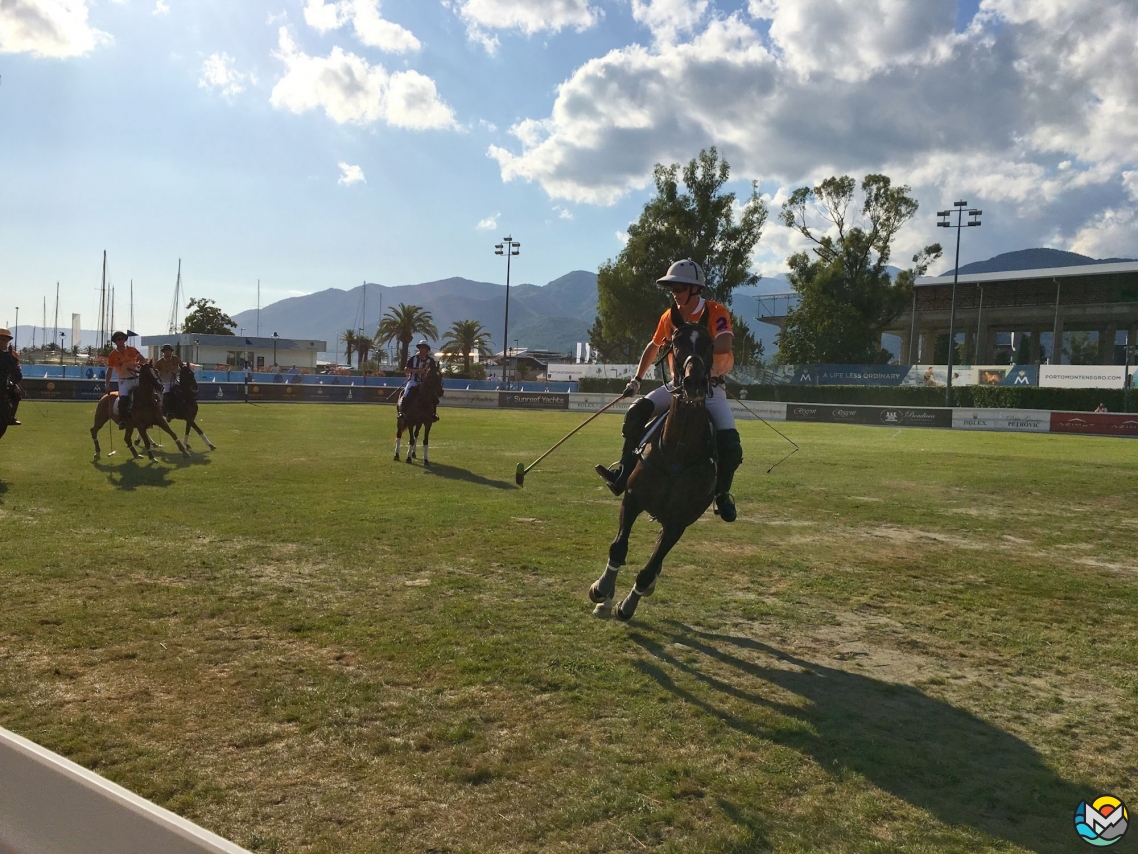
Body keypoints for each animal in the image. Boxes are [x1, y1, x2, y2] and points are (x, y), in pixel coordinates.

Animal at [591, 311, 714, 623]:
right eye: (676, 342)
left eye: (710, 344)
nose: (694, 383)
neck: (677, 452)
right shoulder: (633, 498)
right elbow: (618, 547)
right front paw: (602, 591)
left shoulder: (679, 522)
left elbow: (649, 568)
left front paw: (627, 605)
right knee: (637, 410)